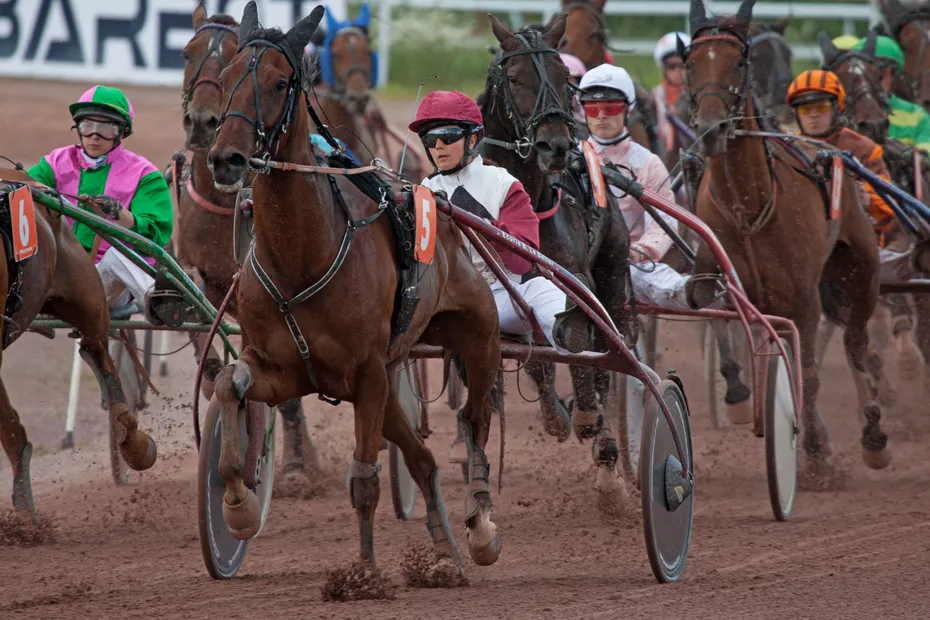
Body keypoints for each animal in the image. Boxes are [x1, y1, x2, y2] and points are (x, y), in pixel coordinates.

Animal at [172, 6, 320, 490]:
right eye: (187, 53)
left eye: (235, 51)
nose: (202, 122)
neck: (223, 206)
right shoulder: (200, 276)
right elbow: (201, 331)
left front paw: (296, 463)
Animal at [208, 2, 504, 580]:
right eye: (227, 79)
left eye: (279, 83)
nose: (225, 158)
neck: (302, 259)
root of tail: (443, 208)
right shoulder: (281, 370)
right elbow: (229, 382)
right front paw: (237, 505)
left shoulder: (365, 373)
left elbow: (364, 479)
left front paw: (363, 574)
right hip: (389, 383)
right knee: (423, 461)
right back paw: (443, 553)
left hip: (475, 340)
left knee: (475, 424)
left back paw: (479, 525)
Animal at [478, 13, 632, 498]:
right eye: (513, 77)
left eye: (566, 77)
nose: (555, 146)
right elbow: (535, 358)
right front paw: (558, 416)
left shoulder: (579, 279)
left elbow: (581, 341)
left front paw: (588, 419)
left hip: (614, 267)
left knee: (610, 352)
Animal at [684, 0, 888, 482]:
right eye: (690, 62)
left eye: (740, 61)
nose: (712, 129)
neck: (751, 204)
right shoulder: (728, 284)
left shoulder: (804, 298)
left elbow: (809, 373)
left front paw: (812, 450)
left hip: (862, 273)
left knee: (857, 344)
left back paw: (872, 434)